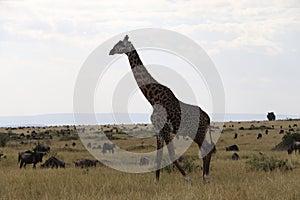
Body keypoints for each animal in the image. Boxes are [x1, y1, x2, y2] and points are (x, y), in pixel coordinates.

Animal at [109, 35, 214, 182]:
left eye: (121, 44)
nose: (111, 51)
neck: (152, 98)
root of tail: (208, 118)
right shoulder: (158, 128)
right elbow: (159, 156)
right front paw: (156, 181)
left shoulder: (165, 128)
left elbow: (171, 154)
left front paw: (187, 178)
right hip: (198, 132)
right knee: (206, 148)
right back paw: (204, 177)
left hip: (197, 132)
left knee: (207, 148)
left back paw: (206, 177)